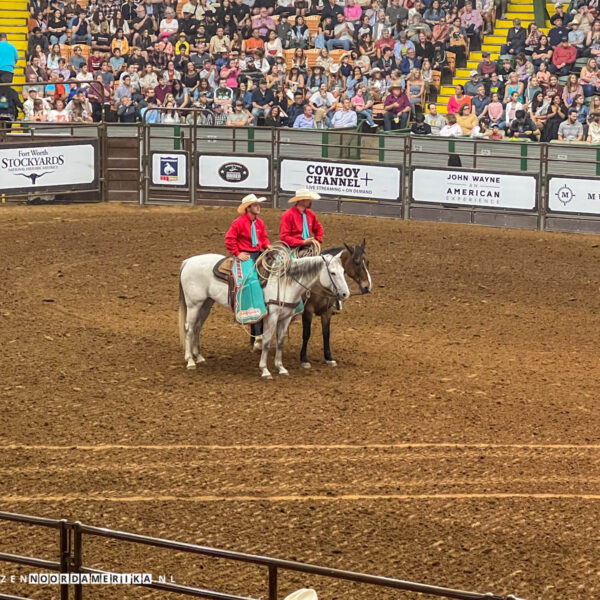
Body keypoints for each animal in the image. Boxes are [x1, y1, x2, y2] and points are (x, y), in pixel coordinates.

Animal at [176, 254, 350, 380]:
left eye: (343, 272)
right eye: (333, 272)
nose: (345, 294)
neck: (285, 283)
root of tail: (188, 261)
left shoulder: (285, 318)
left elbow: (279, 343)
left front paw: (280, 367)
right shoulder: (271, 316)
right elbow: (266, 342)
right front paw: (265, 370)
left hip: (206, 303)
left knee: (197, 327)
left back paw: (199, 357)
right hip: (194, 304)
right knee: (189, 329)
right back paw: (190, 360)